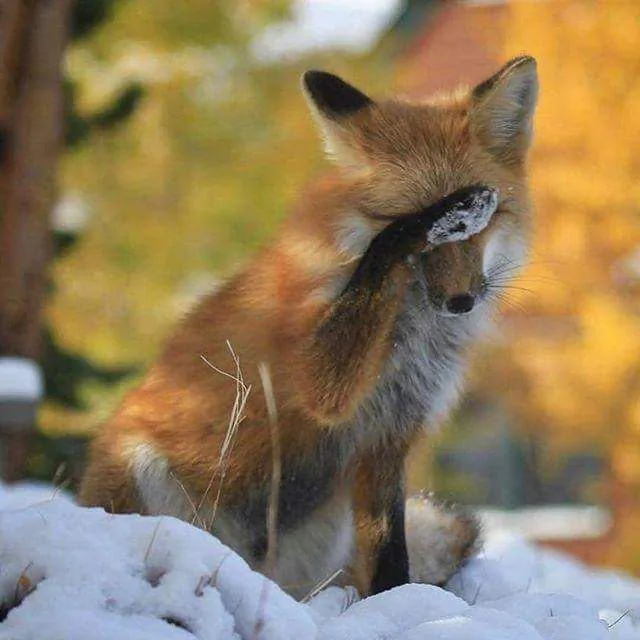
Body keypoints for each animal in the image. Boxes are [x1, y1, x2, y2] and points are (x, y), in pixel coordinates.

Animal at [80, 56, 538, 600]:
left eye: (489, 225)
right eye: (423, 222)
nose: (461, 301)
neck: (410, 331)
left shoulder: (390, 433)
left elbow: (389, 551)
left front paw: (394, 603)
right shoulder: (321, 384)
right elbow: (383, 248)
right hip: (143, 466)